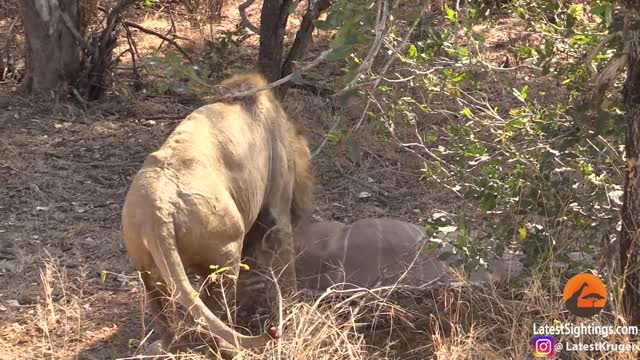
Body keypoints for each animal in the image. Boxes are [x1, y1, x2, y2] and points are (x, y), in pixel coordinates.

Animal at [120, 71, 312, 352]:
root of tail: (158, 211)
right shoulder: (279, 203)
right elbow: (286, 262)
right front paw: (293, 302)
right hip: (225, 254)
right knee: (213, 306)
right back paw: (226, 347)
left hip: (146, 267)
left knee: (166, 308)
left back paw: (167, 344)